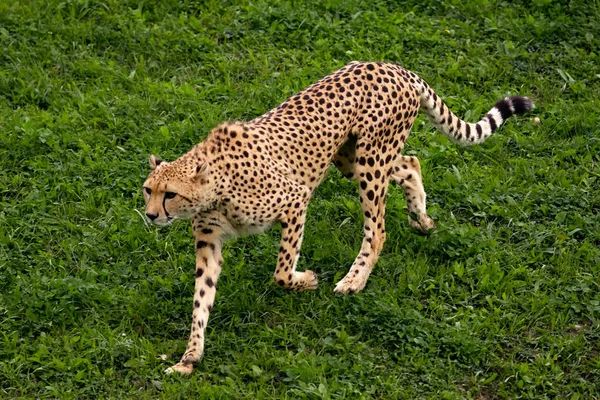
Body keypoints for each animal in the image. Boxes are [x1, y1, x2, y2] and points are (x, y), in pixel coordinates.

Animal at [142, 61, 536, 374]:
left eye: (170, 194)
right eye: (148, 190)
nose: (149, 215)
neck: (213, 188)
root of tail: (391, 65)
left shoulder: (295, 199)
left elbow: (281, 272)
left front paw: (307, 279)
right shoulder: (209, 244)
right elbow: (201, 300)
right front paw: (189, 357)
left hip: (370, 159)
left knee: (377, 229)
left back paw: (355, 280)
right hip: (351, 157)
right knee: (411, 164)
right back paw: (421, 220)